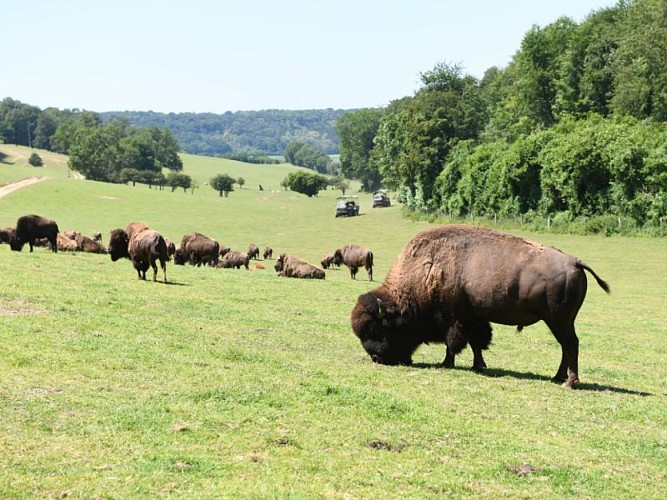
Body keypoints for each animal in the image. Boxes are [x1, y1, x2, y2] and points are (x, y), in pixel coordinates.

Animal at [350, 225, 612, 388]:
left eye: (378, 330)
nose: (376, 358)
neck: (426, 269)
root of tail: (575, 262)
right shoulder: (475, 319)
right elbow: (477, 343)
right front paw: (479, 366)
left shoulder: (455, 320)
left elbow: (453, 343)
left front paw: (447, 364)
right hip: (561, 321)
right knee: (566, 346)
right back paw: (557, 377)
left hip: (558, 320)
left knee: (570, 344)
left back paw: (568, 382)